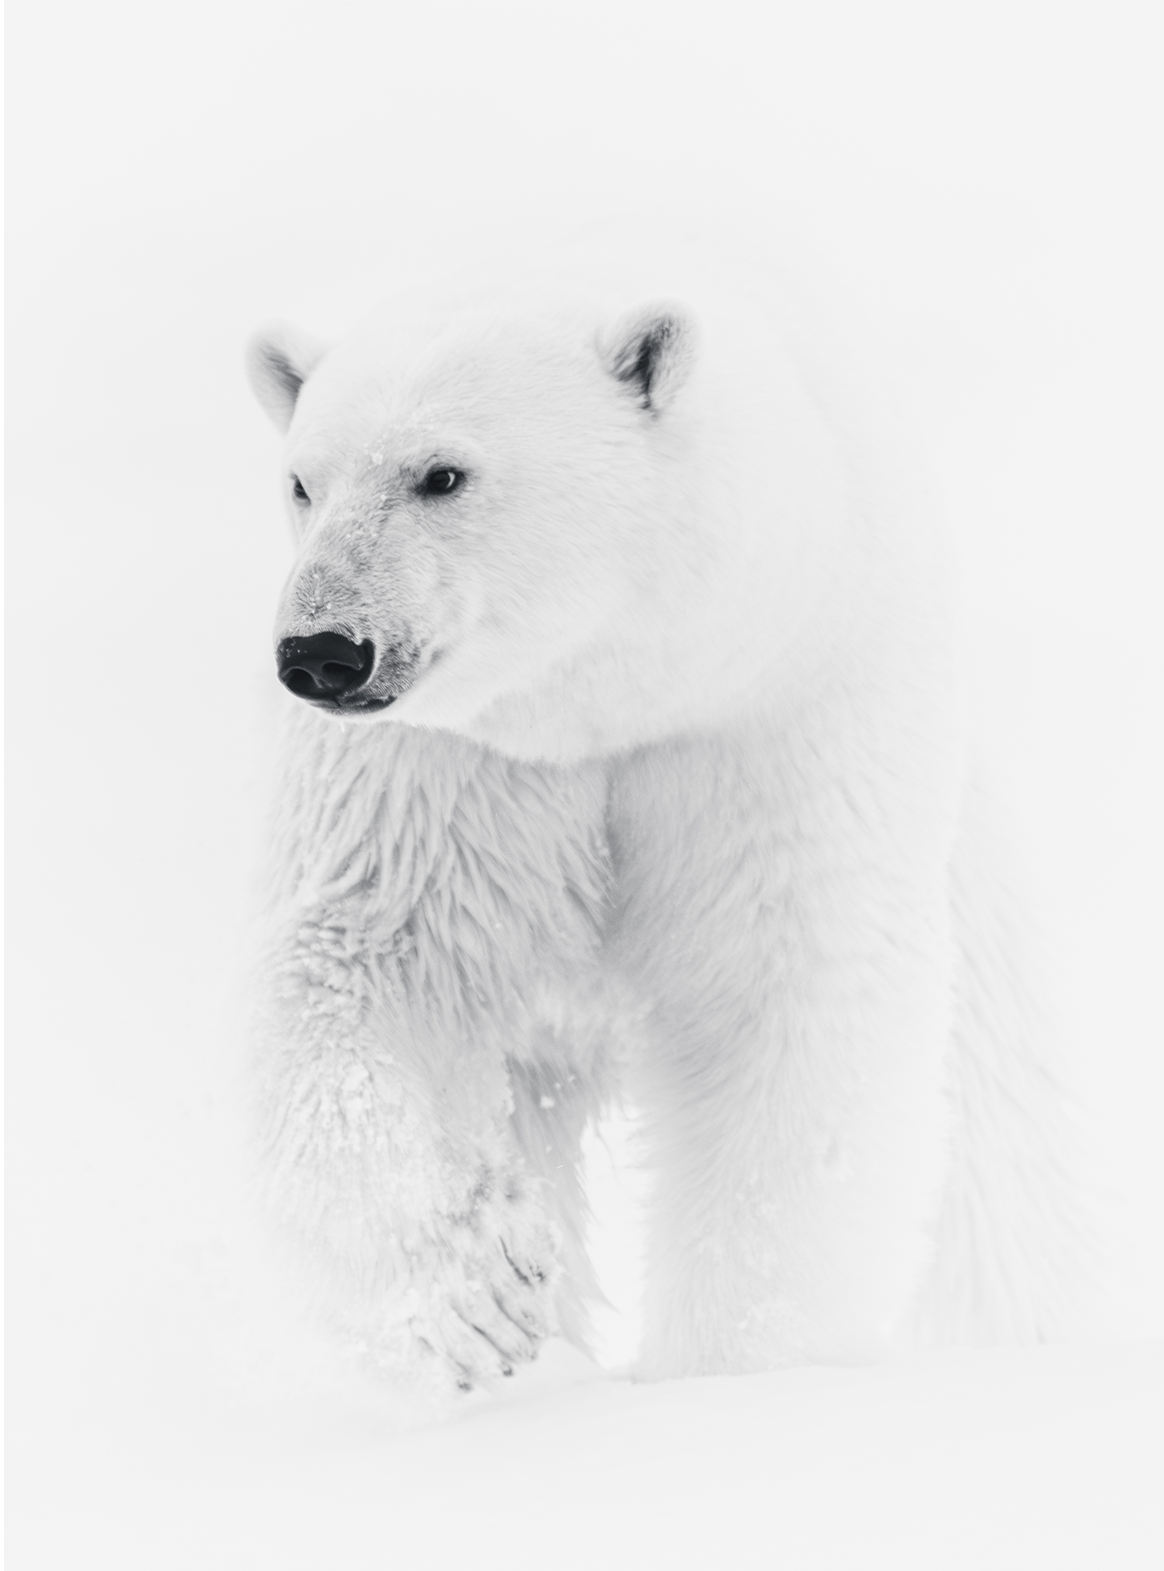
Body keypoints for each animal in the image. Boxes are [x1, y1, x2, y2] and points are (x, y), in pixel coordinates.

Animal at [245, 225, 1084, 1389]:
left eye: (441, 472)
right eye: (301, 483)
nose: (323, 651)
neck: (611, 695)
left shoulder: (771, 713)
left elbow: (782, 1005)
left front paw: (728, 1365)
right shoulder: (445, 763)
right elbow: (370, 959)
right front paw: (480, 1290)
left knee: (1005, 1172)